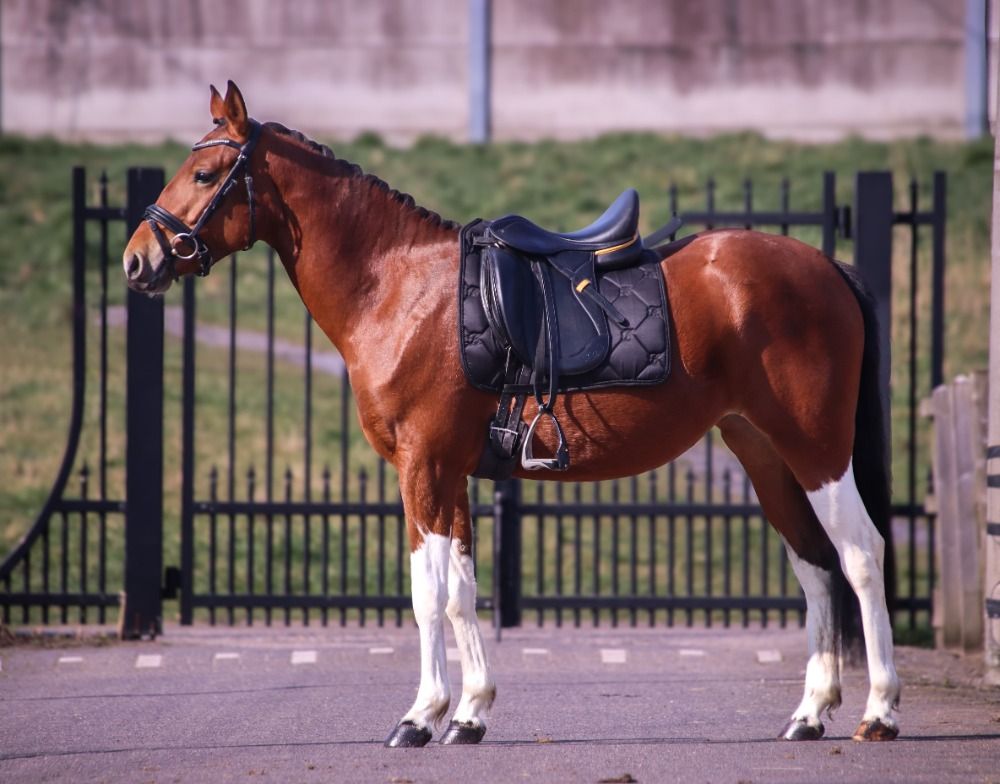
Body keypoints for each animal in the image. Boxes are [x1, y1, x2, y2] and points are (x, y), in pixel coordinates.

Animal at [123, 82, 900, 746]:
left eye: (204, 175)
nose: (136, 261)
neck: (399, 288)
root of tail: (826, 267)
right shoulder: (445, 475)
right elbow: (457, 592)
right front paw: (468, 713)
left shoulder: (424, 467)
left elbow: (431, 596)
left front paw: (422, 716)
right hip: (765, 453)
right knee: (815, 563)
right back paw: (810, 711)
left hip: (817, 450)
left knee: (860, 556)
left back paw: (879, 711)